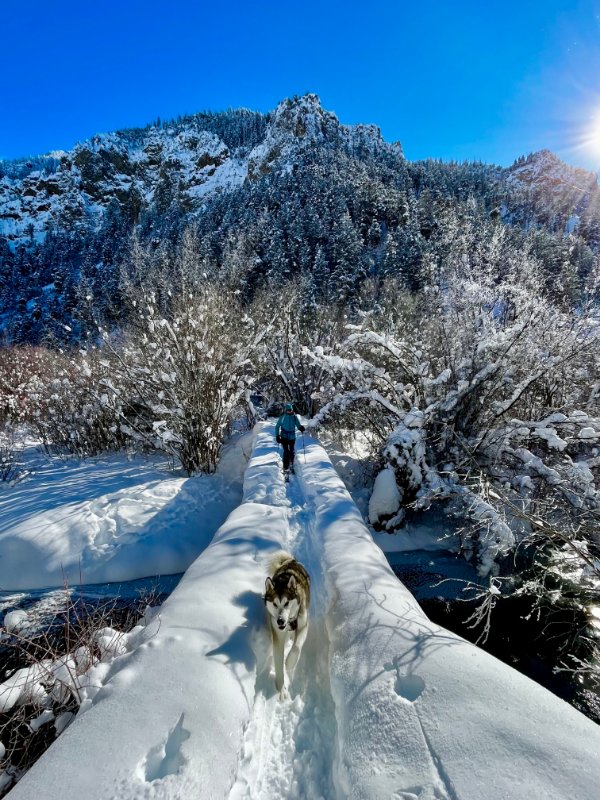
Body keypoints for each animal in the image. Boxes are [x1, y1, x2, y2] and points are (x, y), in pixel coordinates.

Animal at [264, 552, 310, 700]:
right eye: (274, 604)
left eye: (286, 603)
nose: (280, 621)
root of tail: (291, 561)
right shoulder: (277, 634)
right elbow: (278, 663)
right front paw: (281, 690)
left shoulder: (303, 624)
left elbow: (296, 647)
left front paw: (290, 662)